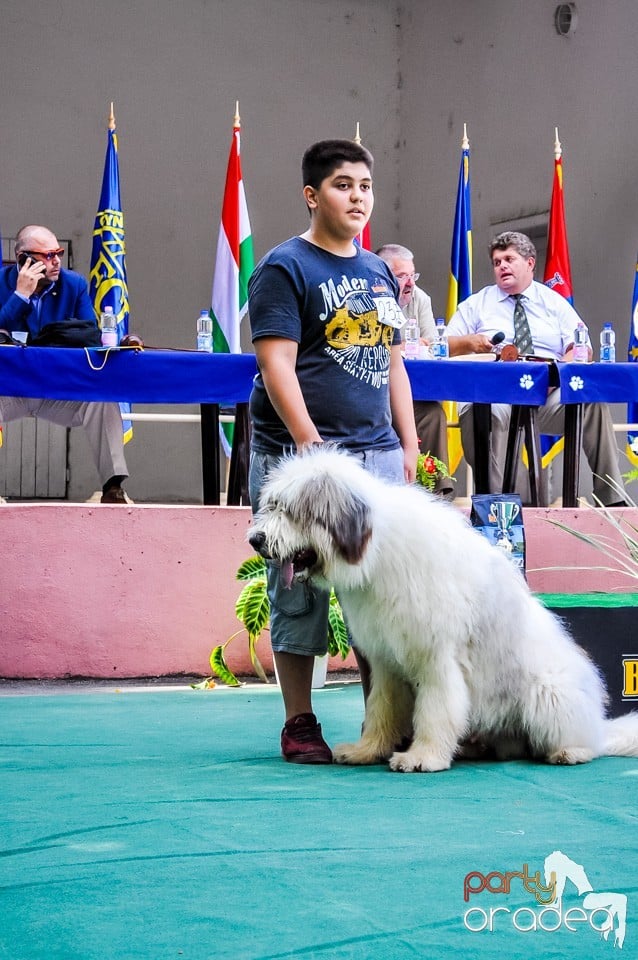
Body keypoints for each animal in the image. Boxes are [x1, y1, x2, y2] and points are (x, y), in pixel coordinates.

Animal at [249, 448, 638, 772]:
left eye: (290, 511)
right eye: (271, 505)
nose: (255, 540)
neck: (377, 549)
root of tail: (598, 725)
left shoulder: (437, 656)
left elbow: (435, 709)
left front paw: (422, 757)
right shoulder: (386, 658)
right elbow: (380, 707)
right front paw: (366, 750)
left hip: (550, 692)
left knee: (582, 741)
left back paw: (569, 752)